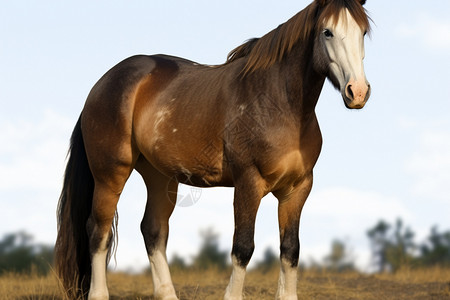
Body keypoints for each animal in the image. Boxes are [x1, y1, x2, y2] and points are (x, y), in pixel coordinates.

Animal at [55, 0, 372, 298]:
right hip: (110, 175)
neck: (279, 103)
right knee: (98, 230)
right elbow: (243, 247)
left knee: (153, 230)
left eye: (363, 32)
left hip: (160, 177)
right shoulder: (248, 183)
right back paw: (99, 293)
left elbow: (290, 249)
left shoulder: (298, 188)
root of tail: (101, 84)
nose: (357, 92)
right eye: (327, 32)